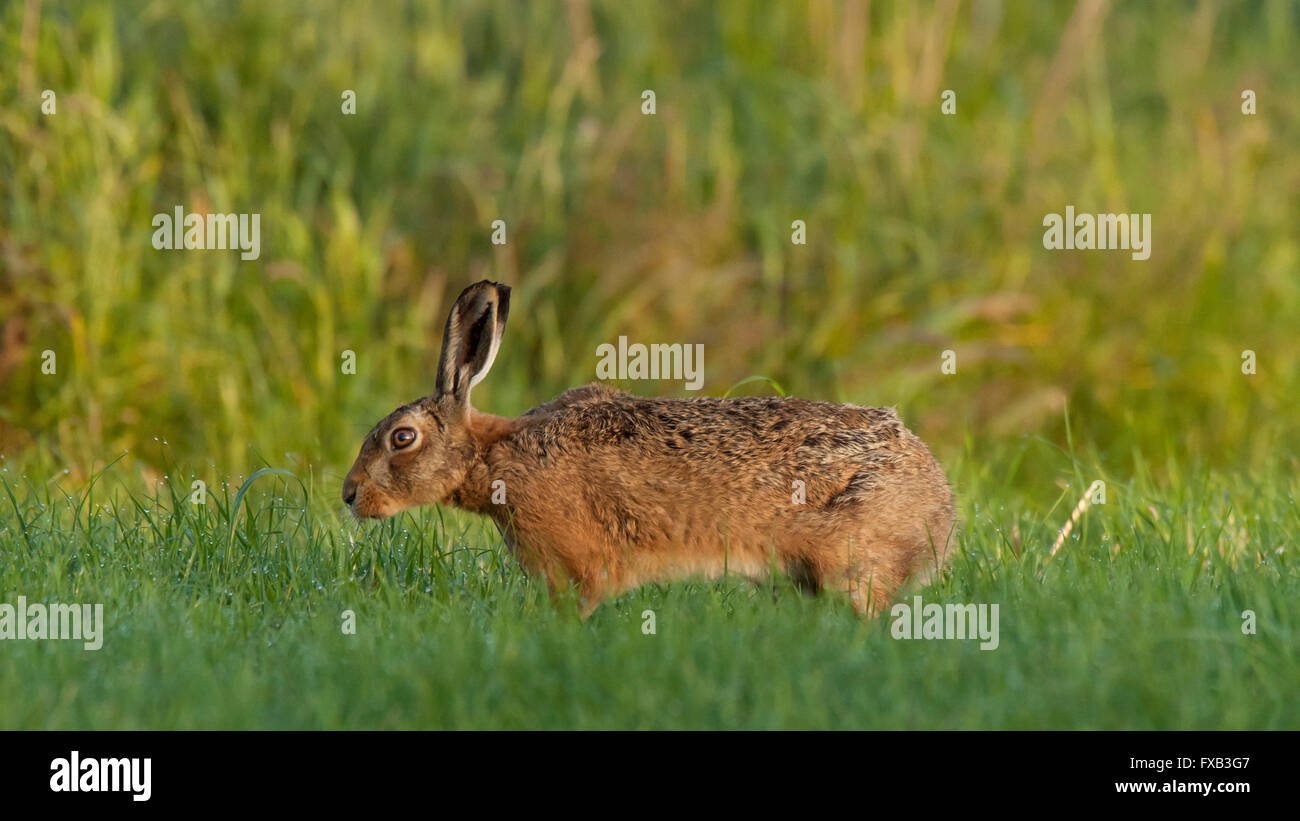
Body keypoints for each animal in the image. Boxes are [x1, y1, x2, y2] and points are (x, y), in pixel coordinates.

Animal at [343, 280, 956, 616]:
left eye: (402, 438)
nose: (350, 495)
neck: (491, 454)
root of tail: (940, 504)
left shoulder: (574, 565)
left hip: (850, 561)